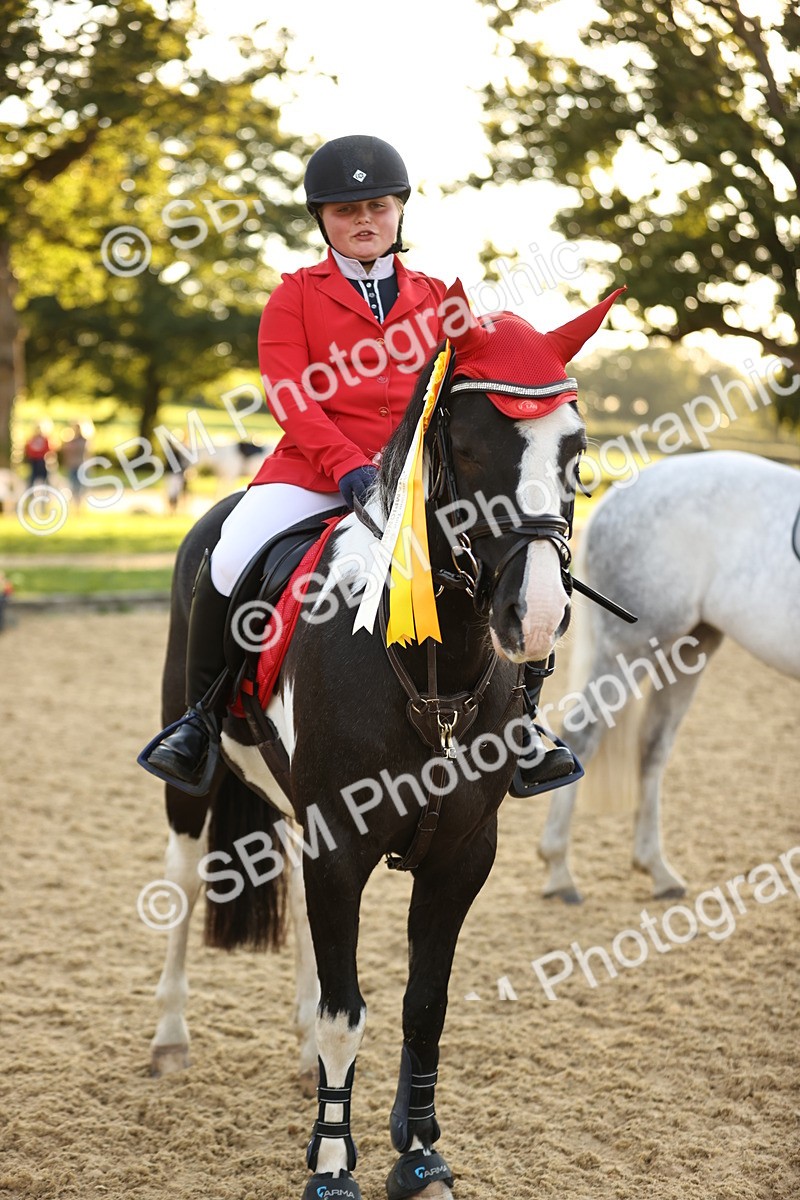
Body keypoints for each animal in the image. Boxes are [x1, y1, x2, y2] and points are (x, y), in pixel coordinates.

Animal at [145, 281, 623, 1199]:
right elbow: (349, 1012)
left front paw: (422, 1152)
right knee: (184, 882)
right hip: (193, 787)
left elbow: (421, 1005)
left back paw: (298, 1053)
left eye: (576, 450)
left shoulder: (462, 854)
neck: (433, 670)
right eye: (467, 447)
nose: (537, 615)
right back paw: (170, 1040)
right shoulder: (341, 844)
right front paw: (334, 1165)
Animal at [538, 449, 800, 904]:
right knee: (582, 734)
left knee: (652, 747)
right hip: (629, 651)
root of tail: (619, 495)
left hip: (690, 649)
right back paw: (560, 871)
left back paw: (658, 870)